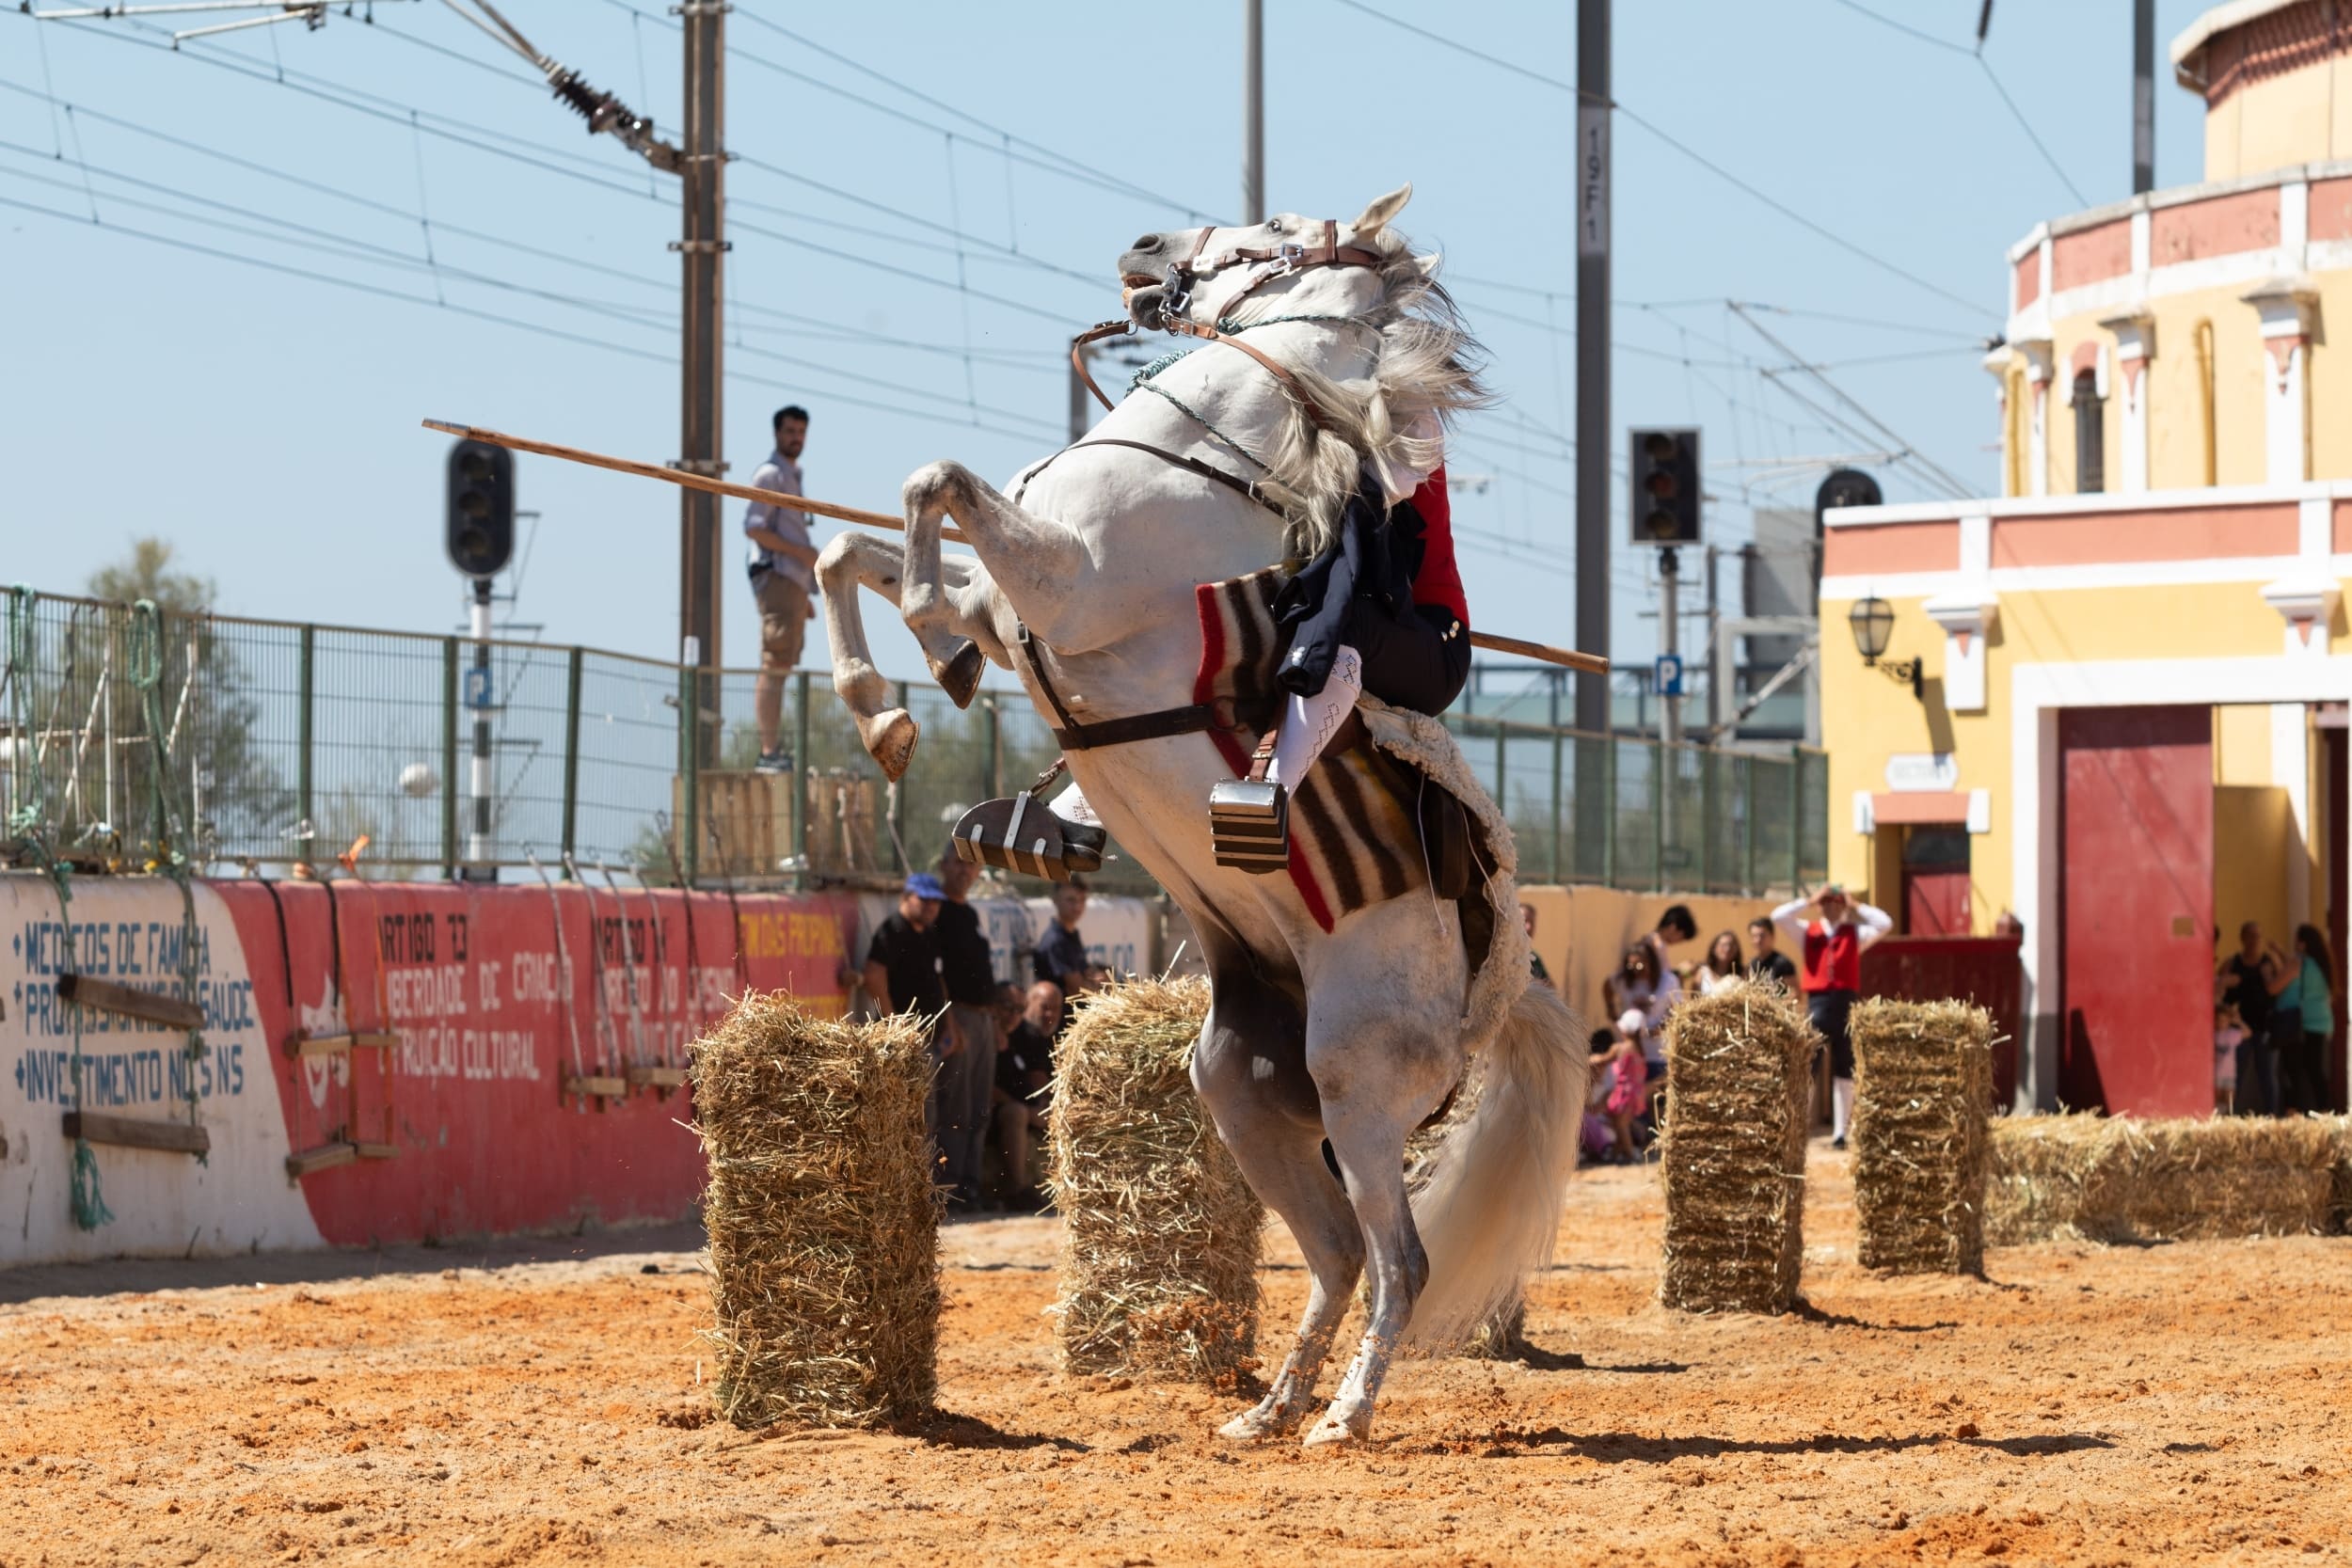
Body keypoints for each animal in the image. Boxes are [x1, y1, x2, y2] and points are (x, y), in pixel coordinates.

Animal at [818, 184, 1590, 1448]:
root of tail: (1504, 980)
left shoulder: (1056, 583)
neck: (1207, 453)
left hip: (1356, 1093)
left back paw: (1342, 1415)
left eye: (1270, 229)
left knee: (1399, 1259)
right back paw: (1270, 1407)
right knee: (1335, 1254)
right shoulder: (1013, 602)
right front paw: (882, 704)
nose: (1143, 249)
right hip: (1242, 1088)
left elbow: (933, 490)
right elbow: (856, 541)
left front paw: (920, 649)